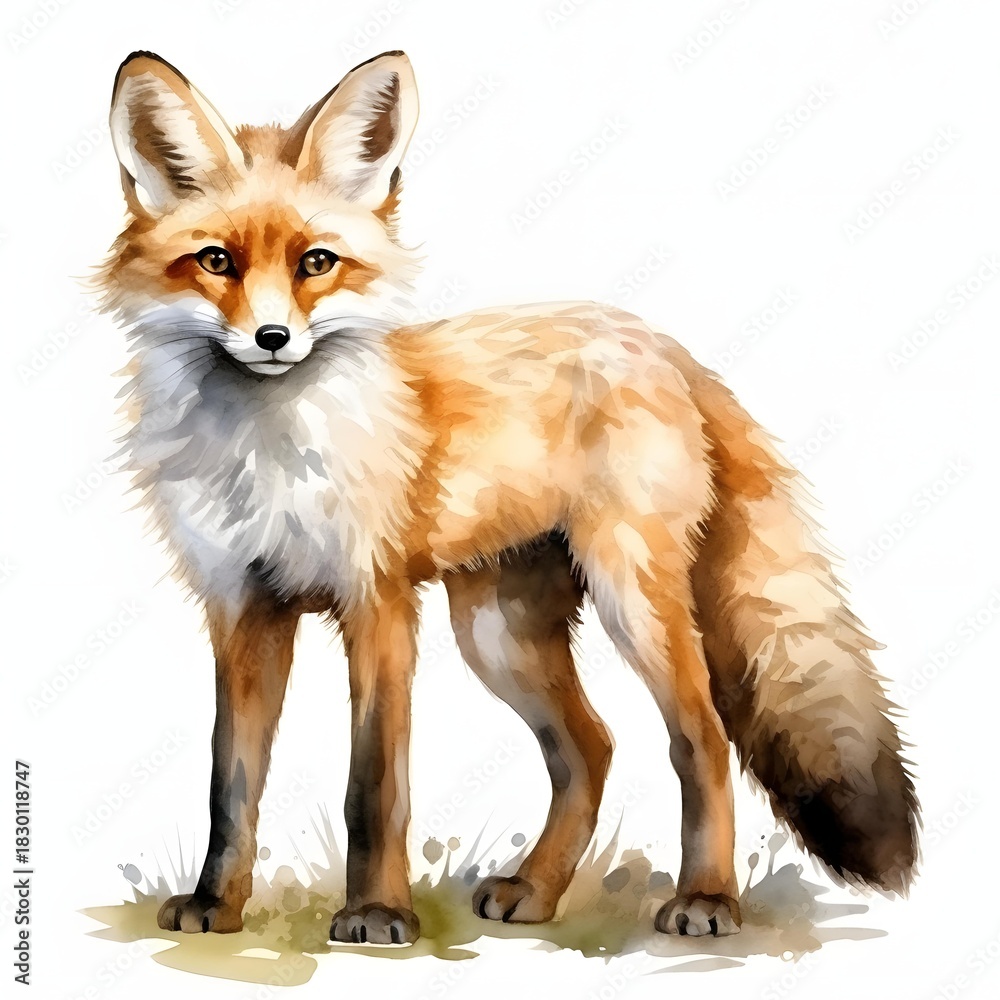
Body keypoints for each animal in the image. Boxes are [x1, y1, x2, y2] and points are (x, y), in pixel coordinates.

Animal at [99, 49, 918, 945]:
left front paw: (377, 912)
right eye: (217, 261)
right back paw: (537, 889)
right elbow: (231, 784)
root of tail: (664, 345)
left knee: (700, 739)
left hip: (629, 601)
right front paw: (218, 904)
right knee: (592, 747)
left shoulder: (377, 599)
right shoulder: (244, 609)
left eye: (317, 262)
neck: (266, 455)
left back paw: (706, 898)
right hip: (499, 633)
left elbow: (373, 784)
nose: (273, 340)